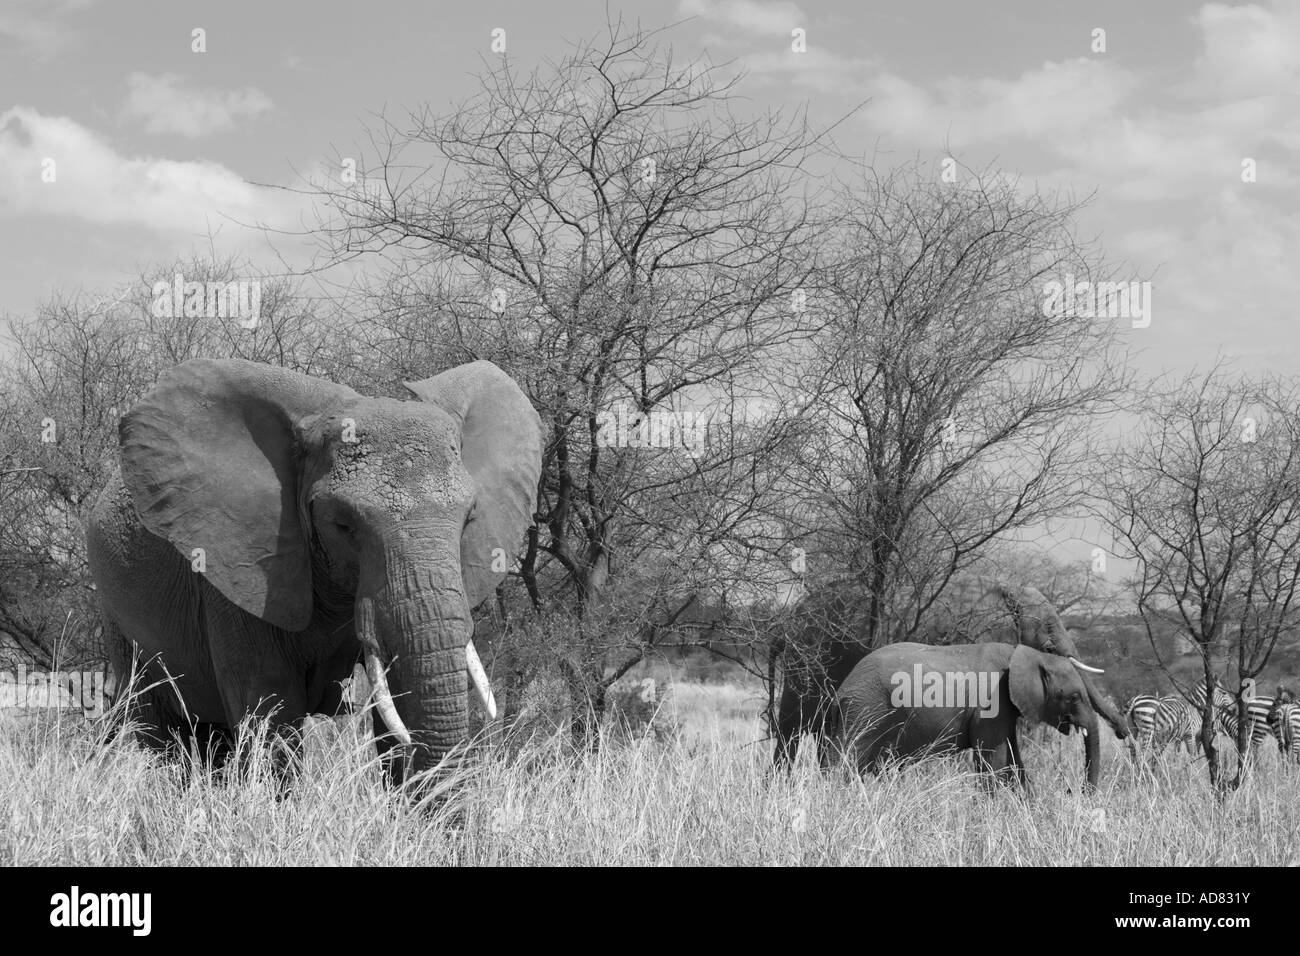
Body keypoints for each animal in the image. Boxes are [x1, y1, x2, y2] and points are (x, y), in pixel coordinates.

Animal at [86, 356, 540, 780]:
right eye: (343, 524)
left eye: (469, 518)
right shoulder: (238, 567)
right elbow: (270, 710)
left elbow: (398, 701)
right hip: (119, 621)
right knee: (167, 738)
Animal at [837, 642, 1102, 790]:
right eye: (1074, 697)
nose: (1072, 791)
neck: (1028, 654)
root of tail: (843, 686)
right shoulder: (991, 703)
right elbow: (993, 762)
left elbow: (1014, 761)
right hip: (865, 710)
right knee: (846, 761)